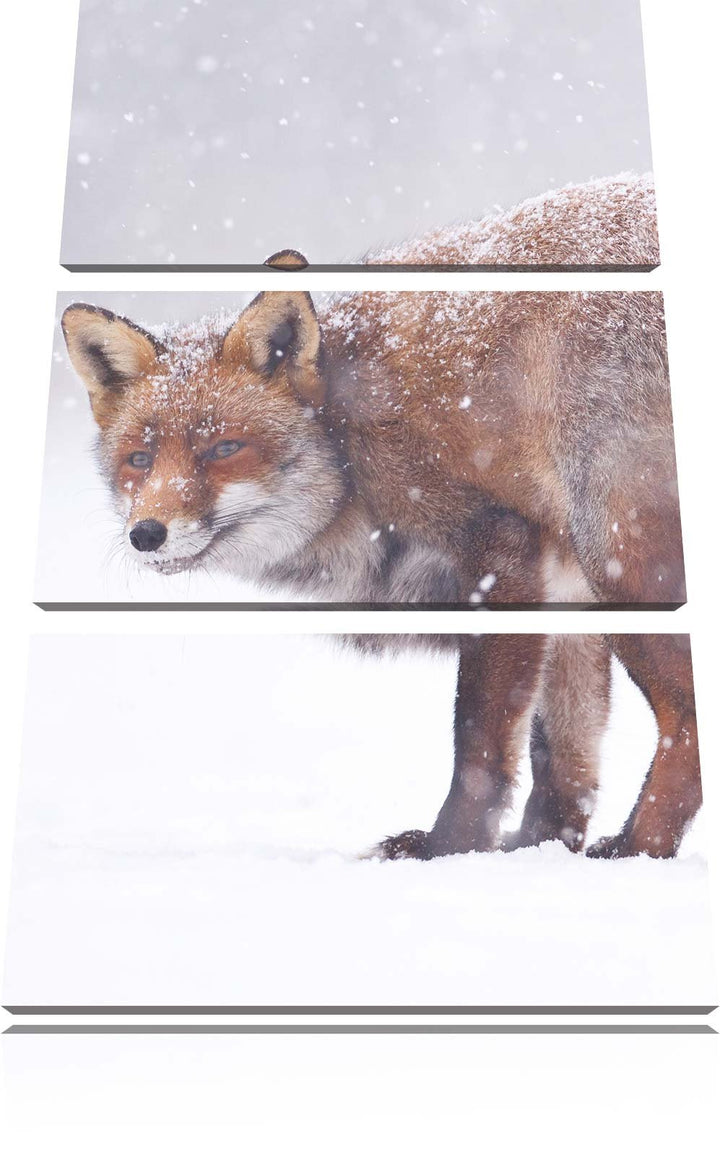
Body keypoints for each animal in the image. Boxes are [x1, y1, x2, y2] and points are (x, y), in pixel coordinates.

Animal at [61, 173, 699, 859]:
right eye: (139, 459)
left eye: (223, 449)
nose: (146, 534)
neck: (351, 439)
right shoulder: (559, 584)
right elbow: (563, 753)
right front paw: (537, 850)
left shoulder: (500, 552)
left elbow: (478, 740)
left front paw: (449, 849)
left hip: (619, 560)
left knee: (686, 720)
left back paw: (639, 850)